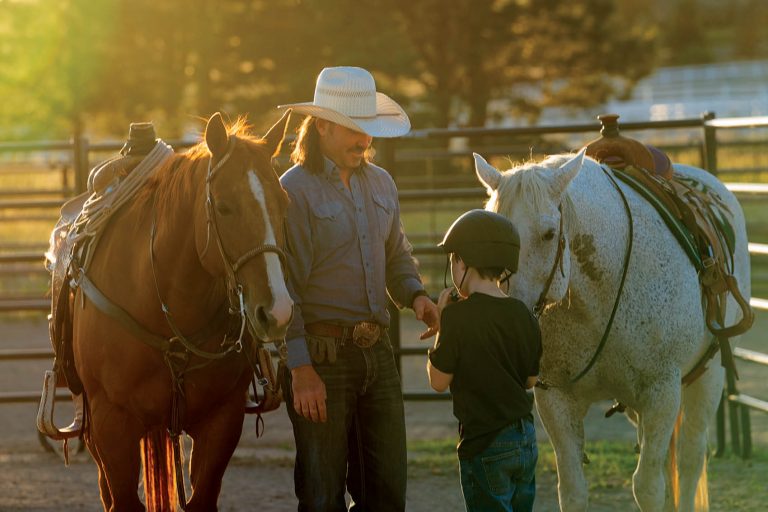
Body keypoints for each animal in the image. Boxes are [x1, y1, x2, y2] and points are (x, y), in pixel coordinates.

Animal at [474, 150, 752, 512]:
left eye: (548, 234)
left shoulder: (662, 391)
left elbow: (648, 487)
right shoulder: (555, 399)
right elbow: (573, 490)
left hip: (707, 378)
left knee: (690, 459)